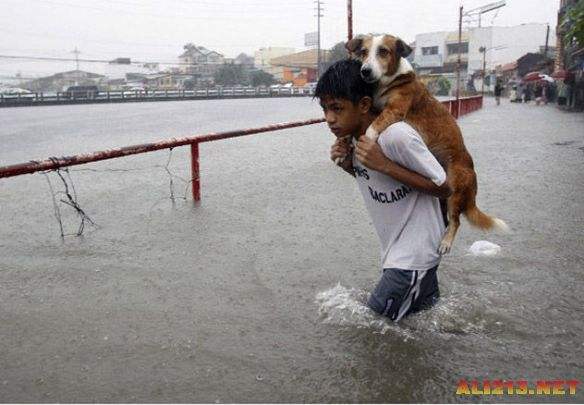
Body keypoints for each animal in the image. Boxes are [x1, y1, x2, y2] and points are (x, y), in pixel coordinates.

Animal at [346, 33, 506, 252]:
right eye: (363, 52)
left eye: (383, 52)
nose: (365, 71)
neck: (390, 80)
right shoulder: (378, 108)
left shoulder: (394, 110)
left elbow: (372, 128)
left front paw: (365, 143)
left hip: (454, 188)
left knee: (456, 221)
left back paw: (446, 242)